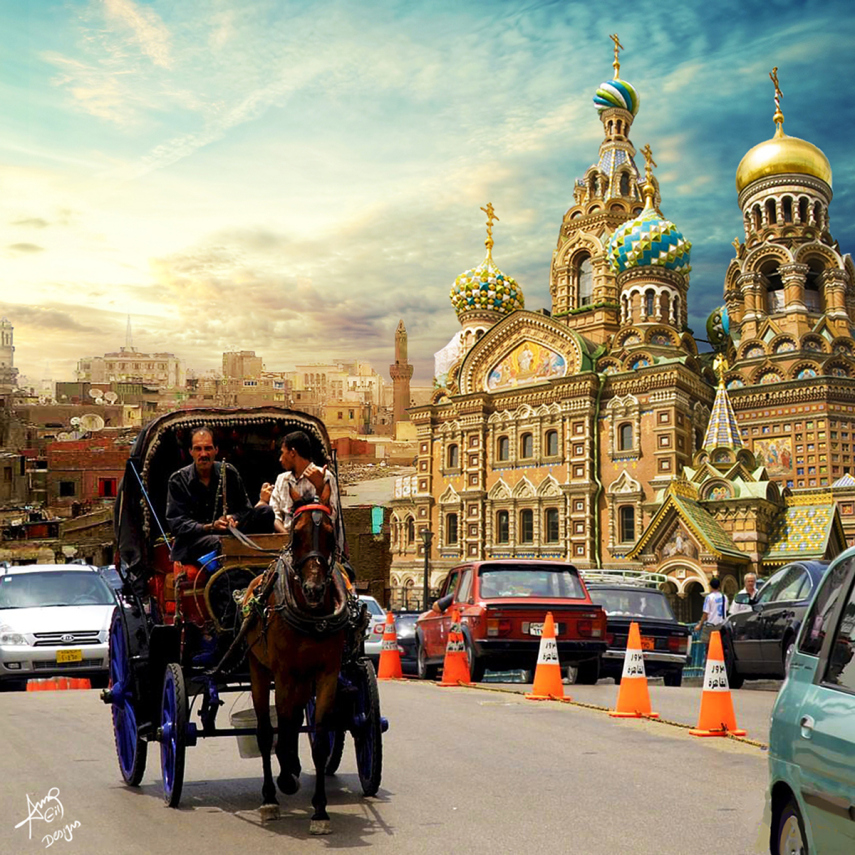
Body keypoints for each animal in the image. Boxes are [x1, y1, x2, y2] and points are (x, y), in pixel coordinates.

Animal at [241, 484, 348, 840]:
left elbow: (319, 739)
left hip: (303, 677)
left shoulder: (327, 673)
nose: (314, 589)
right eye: (297, 533)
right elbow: (283, 728)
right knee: (266, 731)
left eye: (329, 533)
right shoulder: (284, 672)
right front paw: (285, 779)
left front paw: (320, 811)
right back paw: (270, 797)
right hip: (259, 668)